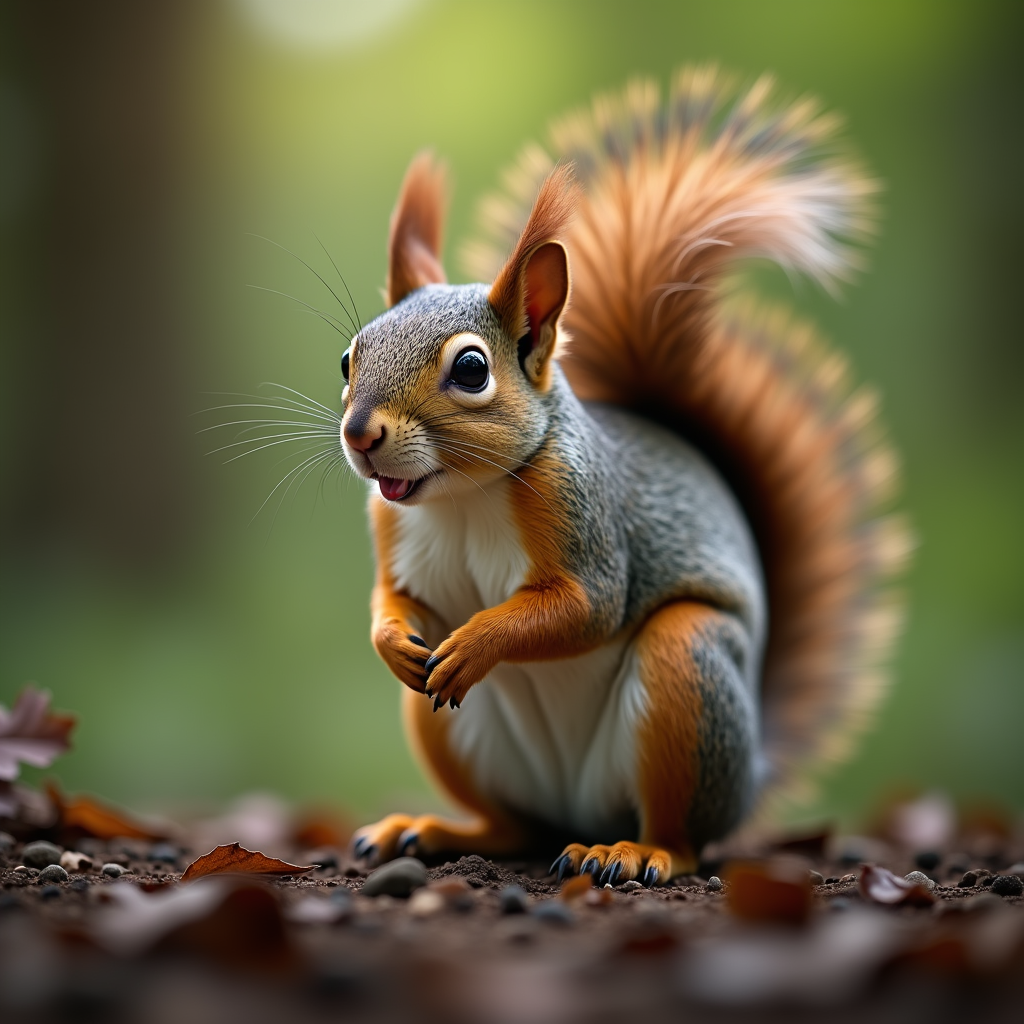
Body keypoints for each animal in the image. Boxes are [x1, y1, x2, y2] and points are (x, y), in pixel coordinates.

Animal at [343, 67, 908, 886]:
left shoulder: (585, 516)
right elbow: (394, 598)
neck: (461, 497)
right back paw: (432, 828)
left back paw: (633, 852)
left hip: (686, 671)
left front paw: (476, 643)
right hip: (452, 736)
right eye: (348, 358)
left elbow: (587, 607)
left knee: (683, 836)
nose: (360, 435)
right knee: (511, 825)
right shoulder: (393, 530)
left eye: (472, 370)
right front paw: (392, 641)